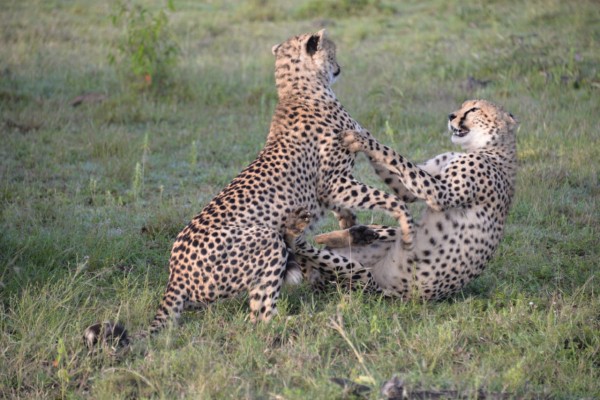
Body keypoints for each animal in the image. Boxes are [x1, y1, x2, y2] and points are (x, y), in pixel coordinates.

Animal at [148, 28, 414, 334]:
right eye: (332, 52)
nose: (339, 67)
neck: (296, 89)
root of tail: (174, 275)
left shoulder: (335, 187)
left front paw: (353, 227)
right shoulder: (335, 183)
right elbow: (391, 200)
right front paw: (406, 228)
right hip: (267, 241)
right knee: (262, 317)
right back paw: (318, 316)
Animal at [296, 100, 520, 300]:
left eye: (474, 109)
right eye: (462, 106)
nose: (451, 116)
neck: (490, 148)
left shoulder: (441, 192)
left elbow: (393, 155)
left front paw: (361, 140)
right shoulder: (411, 189)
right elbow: (400, 176)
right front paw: (362, 132)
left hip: (363, 278)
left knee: (306, 250)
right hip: (384, 239)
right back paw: (357, 233)